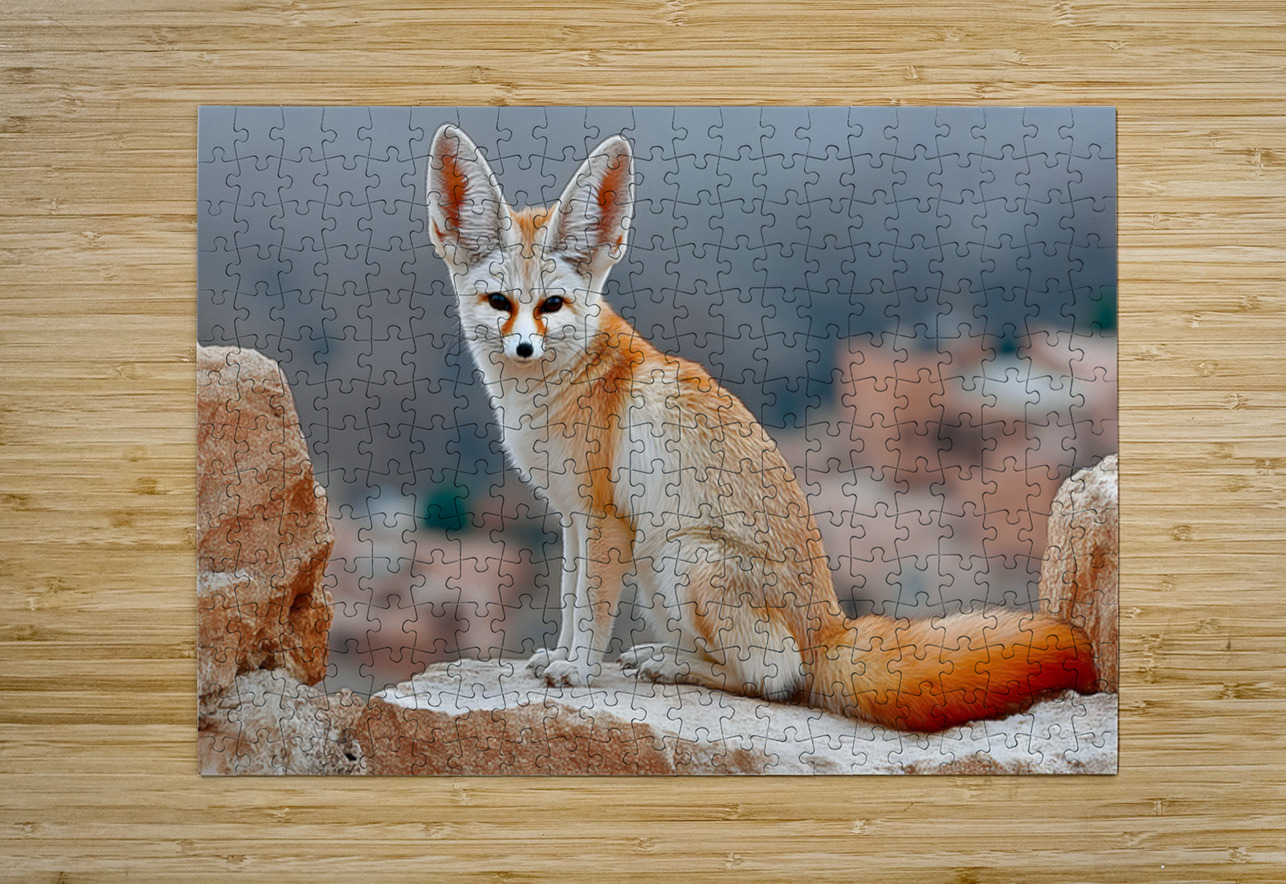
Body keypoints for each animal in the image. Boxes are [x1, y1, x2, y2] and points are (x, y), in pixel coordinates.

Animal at [426, 124, 1098, 733]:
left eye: (551, 306)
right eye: (499, 302)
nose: (523, 349)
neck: (554, 392)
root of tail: (832, 629)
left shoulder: (603, 520)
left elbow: (590, 614)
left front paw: (580, 672)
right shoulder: (572, 518)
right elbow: (568, 608)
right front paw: (556, 660)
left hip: (676, 555)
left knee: (776, 680)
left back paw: (675, 665)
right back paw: (666, 656)